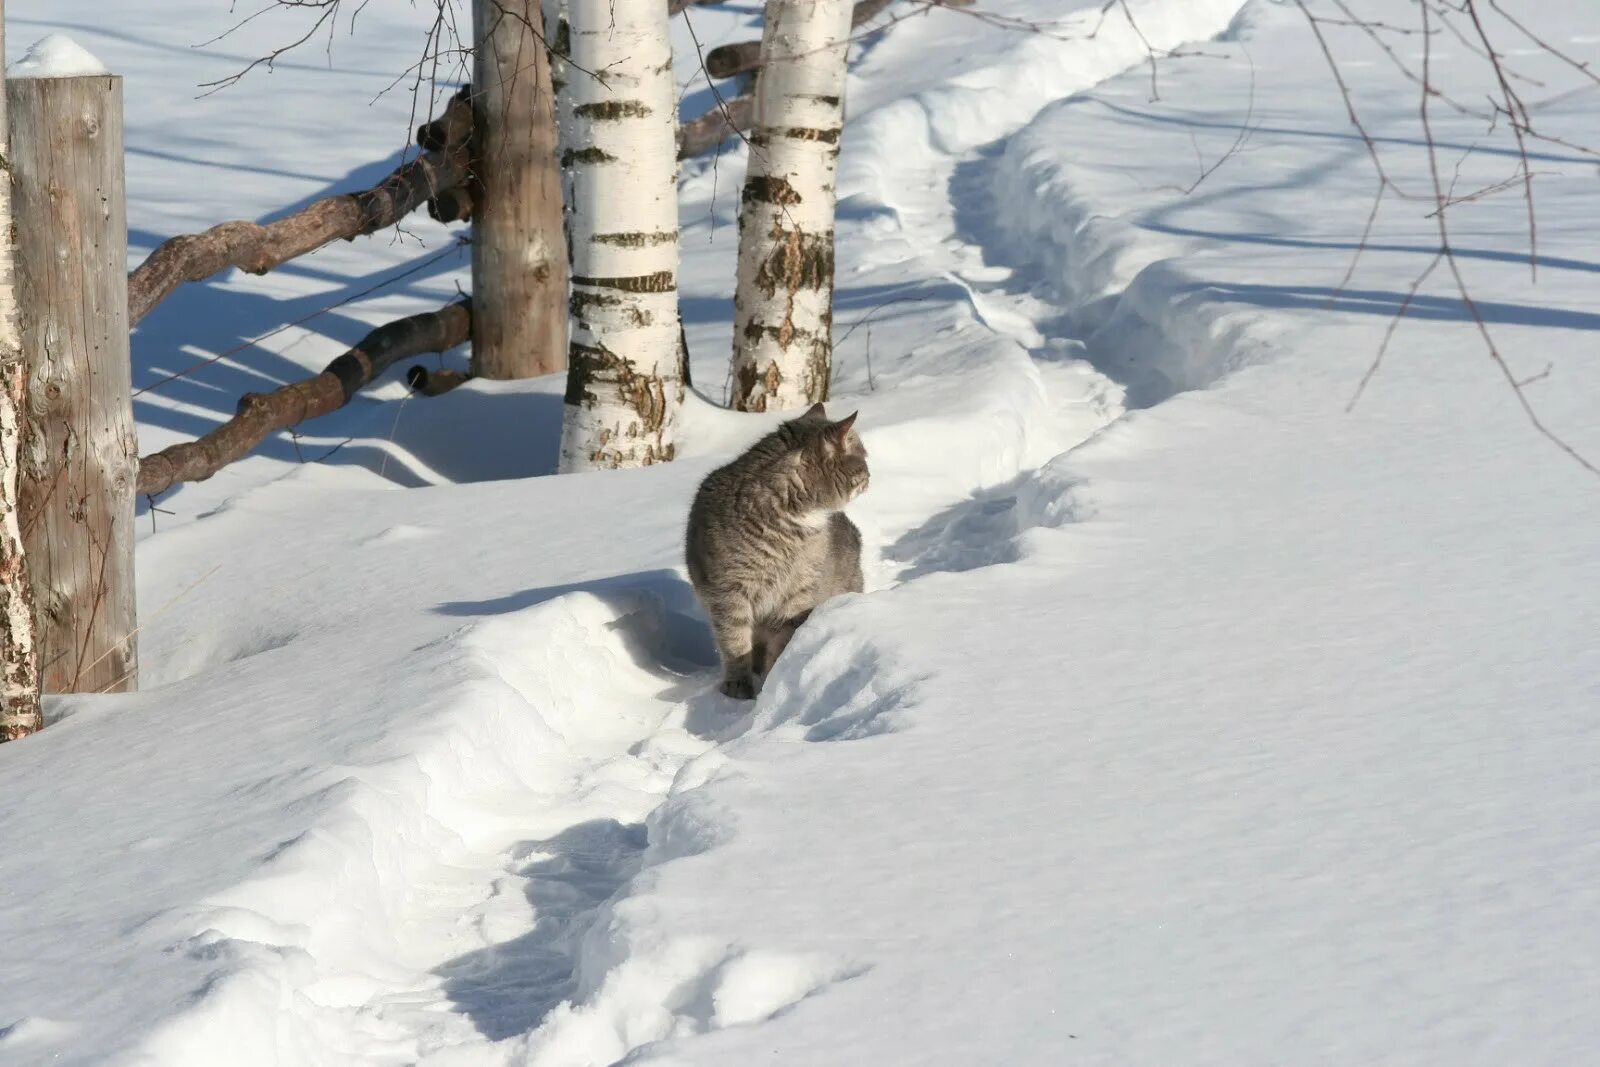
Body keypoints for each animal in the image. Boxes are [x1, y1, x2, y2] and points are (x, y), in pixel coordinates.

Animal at [684, 403, 870, 700]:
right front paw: (739, 685)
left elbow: (781, 644)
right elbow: (735, 644)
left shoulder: (797, 597)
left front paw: (772, 683)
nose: (870, 476)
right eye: (863, 459)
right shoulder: (728, 594)